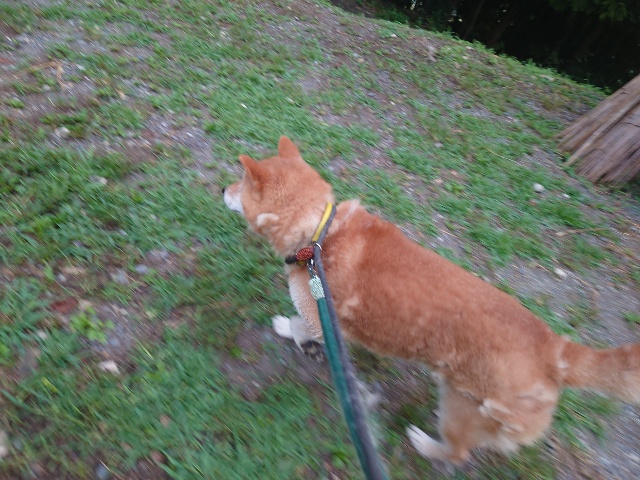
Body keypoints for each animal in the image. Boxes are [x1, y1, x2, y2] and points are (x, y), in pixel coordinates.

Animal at [223, 136, 640, 465]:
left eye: (239, 184)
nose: (222, 191)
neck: (319, 234)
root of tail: (554, 350)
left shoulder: (321, 318)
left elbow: (298, 325)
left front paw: (285, 328)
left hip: (459, 407)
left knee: (458, 453)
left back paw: (424, 444)